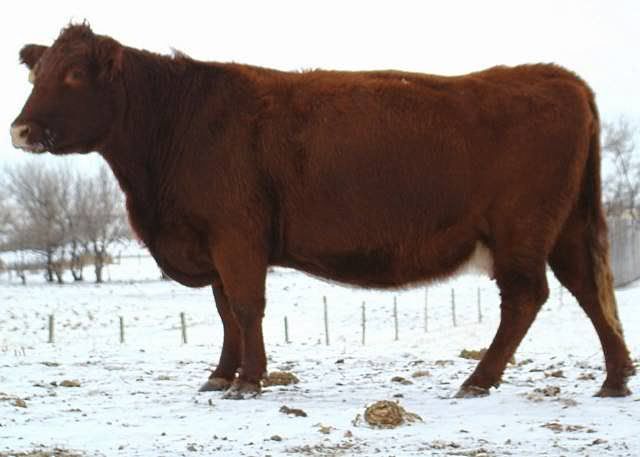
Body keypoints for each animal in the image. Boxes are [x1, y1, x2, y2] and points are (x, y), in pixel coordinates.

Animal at [11, 23, 635, 399]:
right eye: (37, 74)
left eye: (74, 74)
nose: (20, 130)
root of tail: (555, 75)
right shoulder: (215, 244)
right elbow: (225, 312)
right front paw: (220, 375)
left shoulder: (236, 235)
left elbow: (245, 307)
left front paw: (248, 381)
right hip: (568, 227)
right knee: (589, 289)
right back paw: (614, 379)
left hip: (520, 230)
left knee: (527, 298)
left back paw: (478, 380)